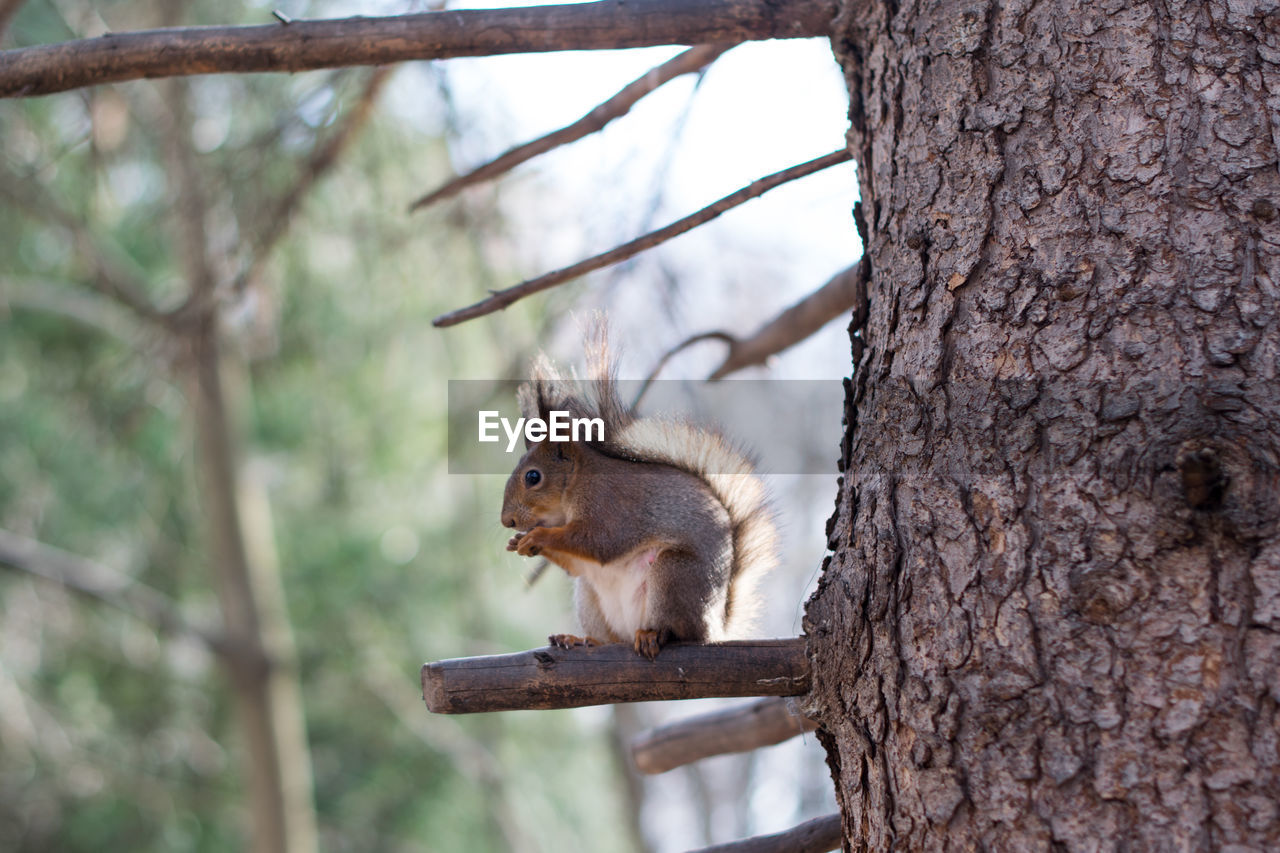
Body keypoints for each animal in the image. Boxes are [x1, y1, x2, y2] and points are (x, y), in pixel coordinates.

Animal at [499, 326, 778, 655]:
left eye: (533, 477)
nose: (507, 521)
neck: (573, 487)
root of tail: (714, 628)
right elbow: (577, 564)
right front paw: (520, 542)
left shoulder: (610, 504)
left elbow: (599, 542)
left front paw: (537, 537)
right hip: (590, 596)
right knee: (612, 636)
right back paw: (582, 639)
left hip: (673, 575)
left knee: (680, 630)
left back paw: (654, 634)